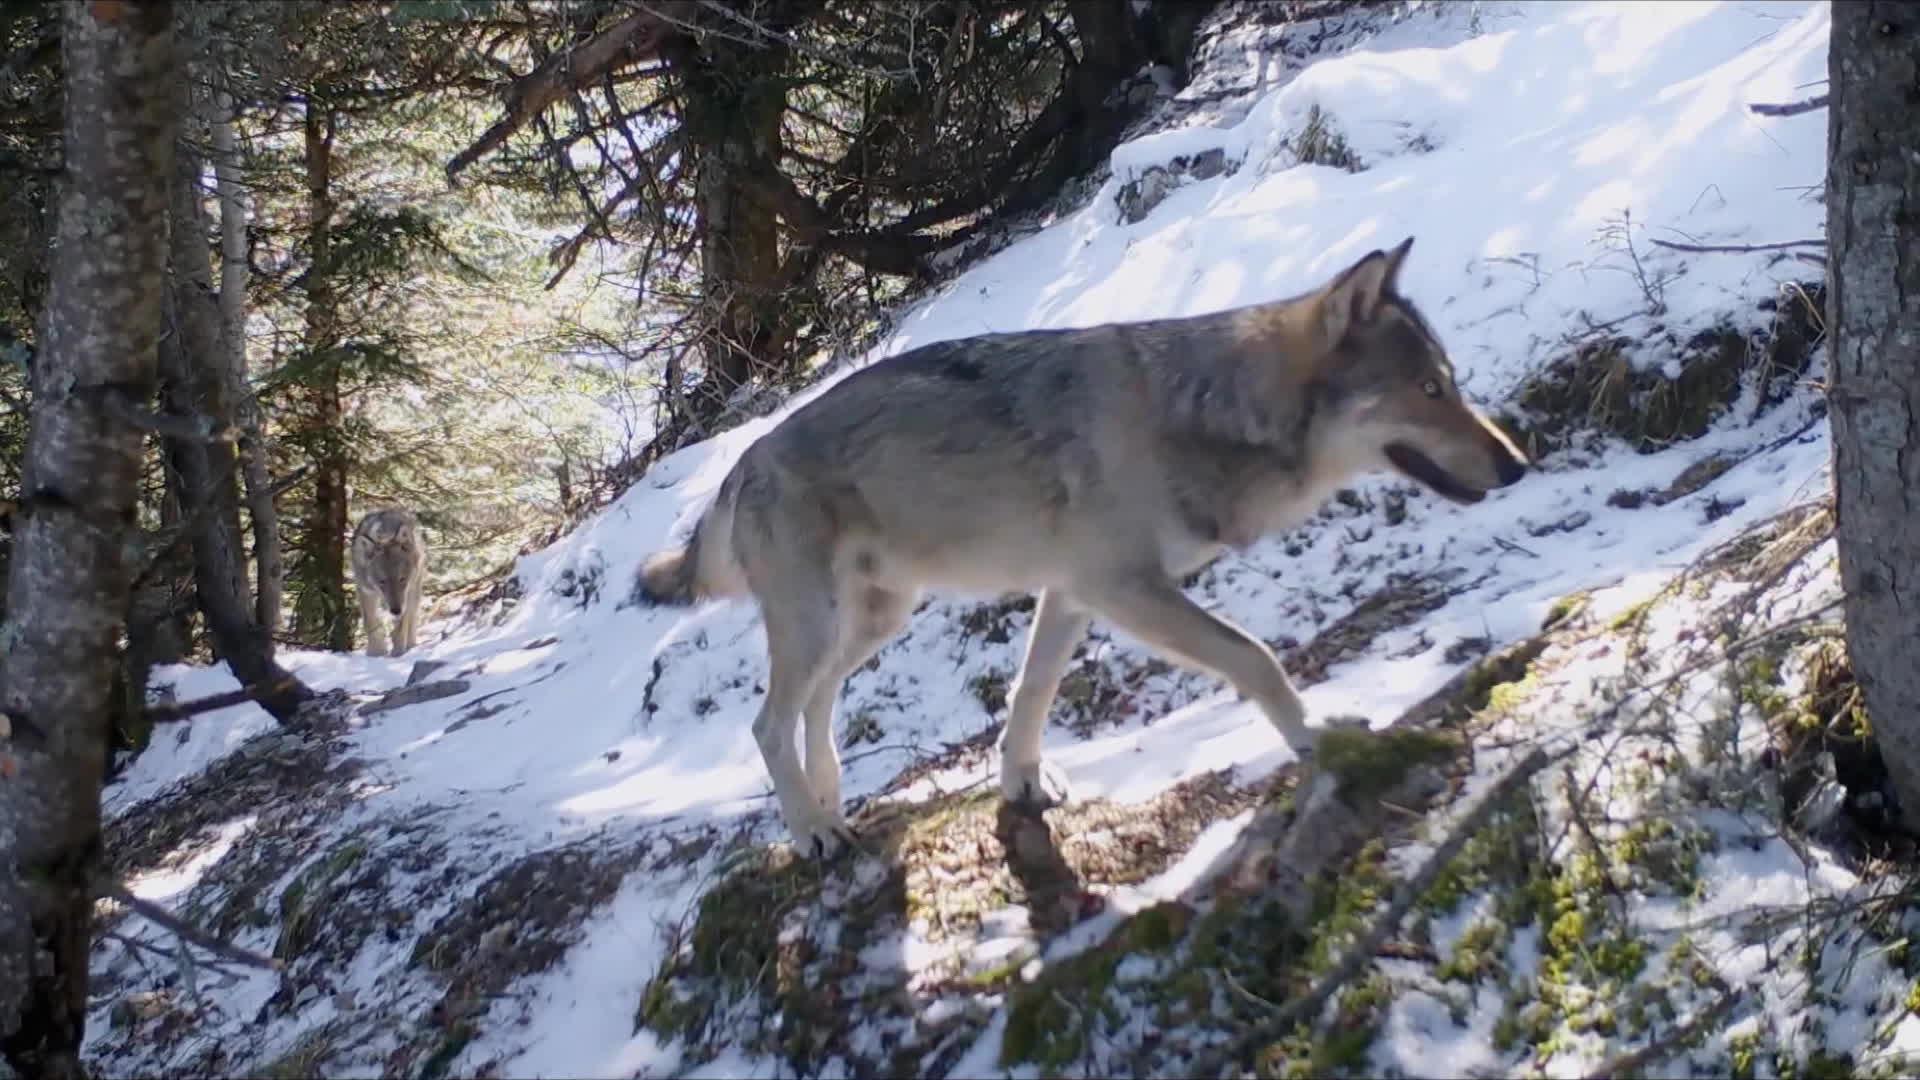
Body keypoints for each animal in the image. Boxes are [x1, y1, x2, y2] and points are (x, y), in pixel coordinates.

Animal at [355, 507, 430, 657]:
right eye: (382, 581)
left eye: (402, 579)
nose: (396, 610)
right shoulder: (365, 591)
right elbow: (370, 622)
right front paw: (376, 653)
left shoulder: (406, 595)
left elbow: (401, 628)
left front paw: (398, 653)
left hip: (414, 591)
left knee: (411, 617)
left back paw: (411, 646)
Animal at [629, 239, 1528, 853]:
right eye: (1430, 390)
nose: (1519, 463)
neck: (1203, 413)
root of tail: (742, 461)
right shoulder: (1124, 590)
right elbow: (1257, 657)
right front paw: (1315, 737)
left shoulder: (1073, 593)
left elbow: (1030, 695)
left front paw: (1023, 783)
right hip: (823, 624)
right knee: (767, 724)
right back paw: (811, 830)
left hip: (877, 621)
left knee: (814, 708)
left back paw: (830, 799)